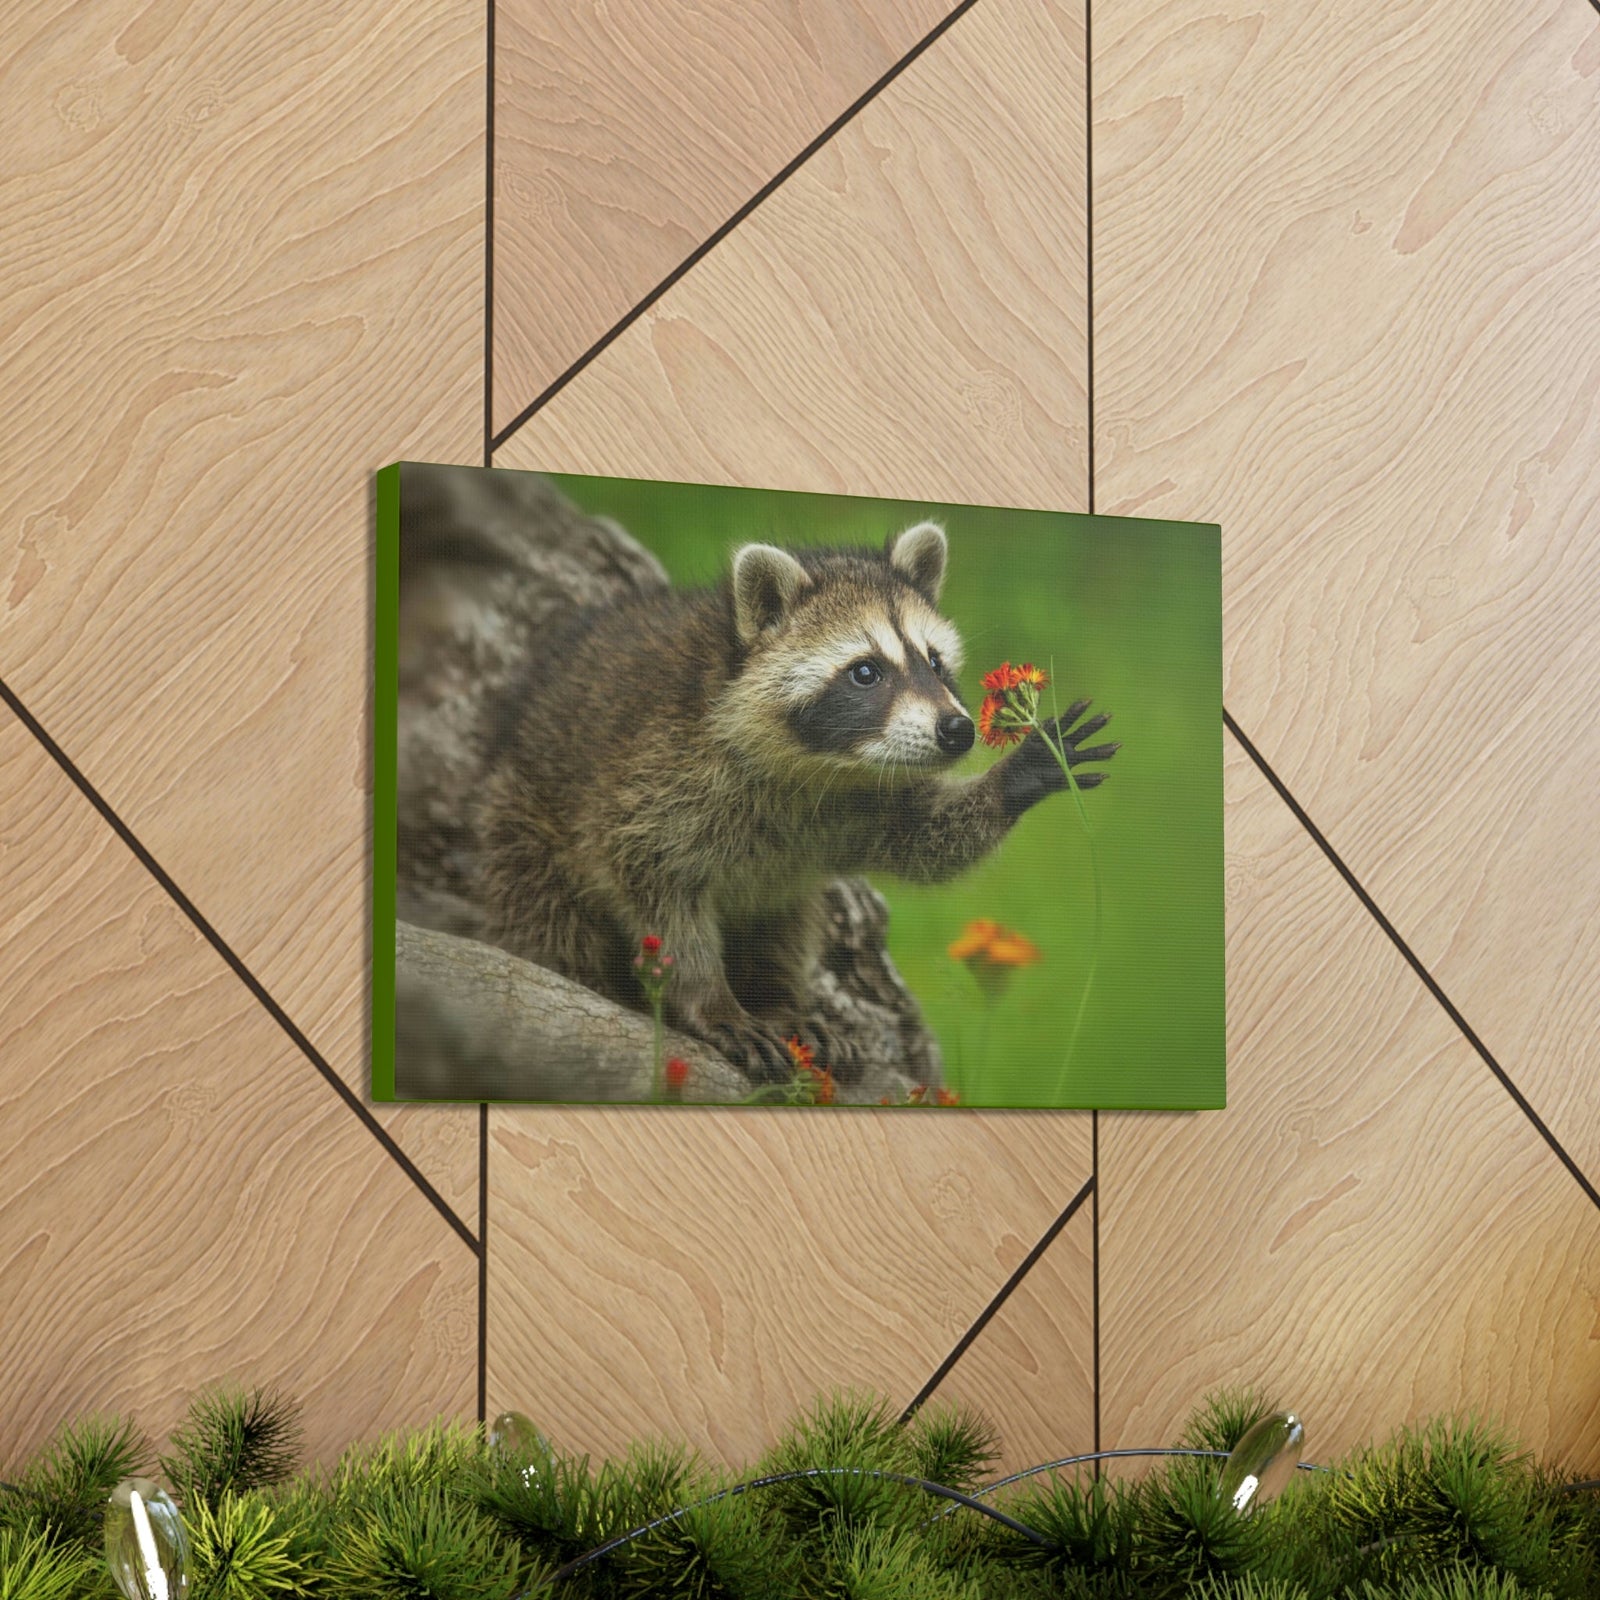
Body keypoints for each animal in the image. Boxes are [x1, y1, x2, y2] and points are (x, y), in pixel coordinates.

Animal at [477, 520, 1118, 1083]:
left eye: (934, 662)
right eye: (866, 672)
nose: (958, 731)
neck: (815, 768)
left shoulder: (856, 803)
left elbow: (923, 838)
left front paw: (1017, 776)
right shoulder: (651, 781)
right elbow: (659, 895)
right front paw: (709, 999)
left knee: (783, 918)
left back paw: (781, 1000)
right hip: (522, 829)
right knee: (552, 924)